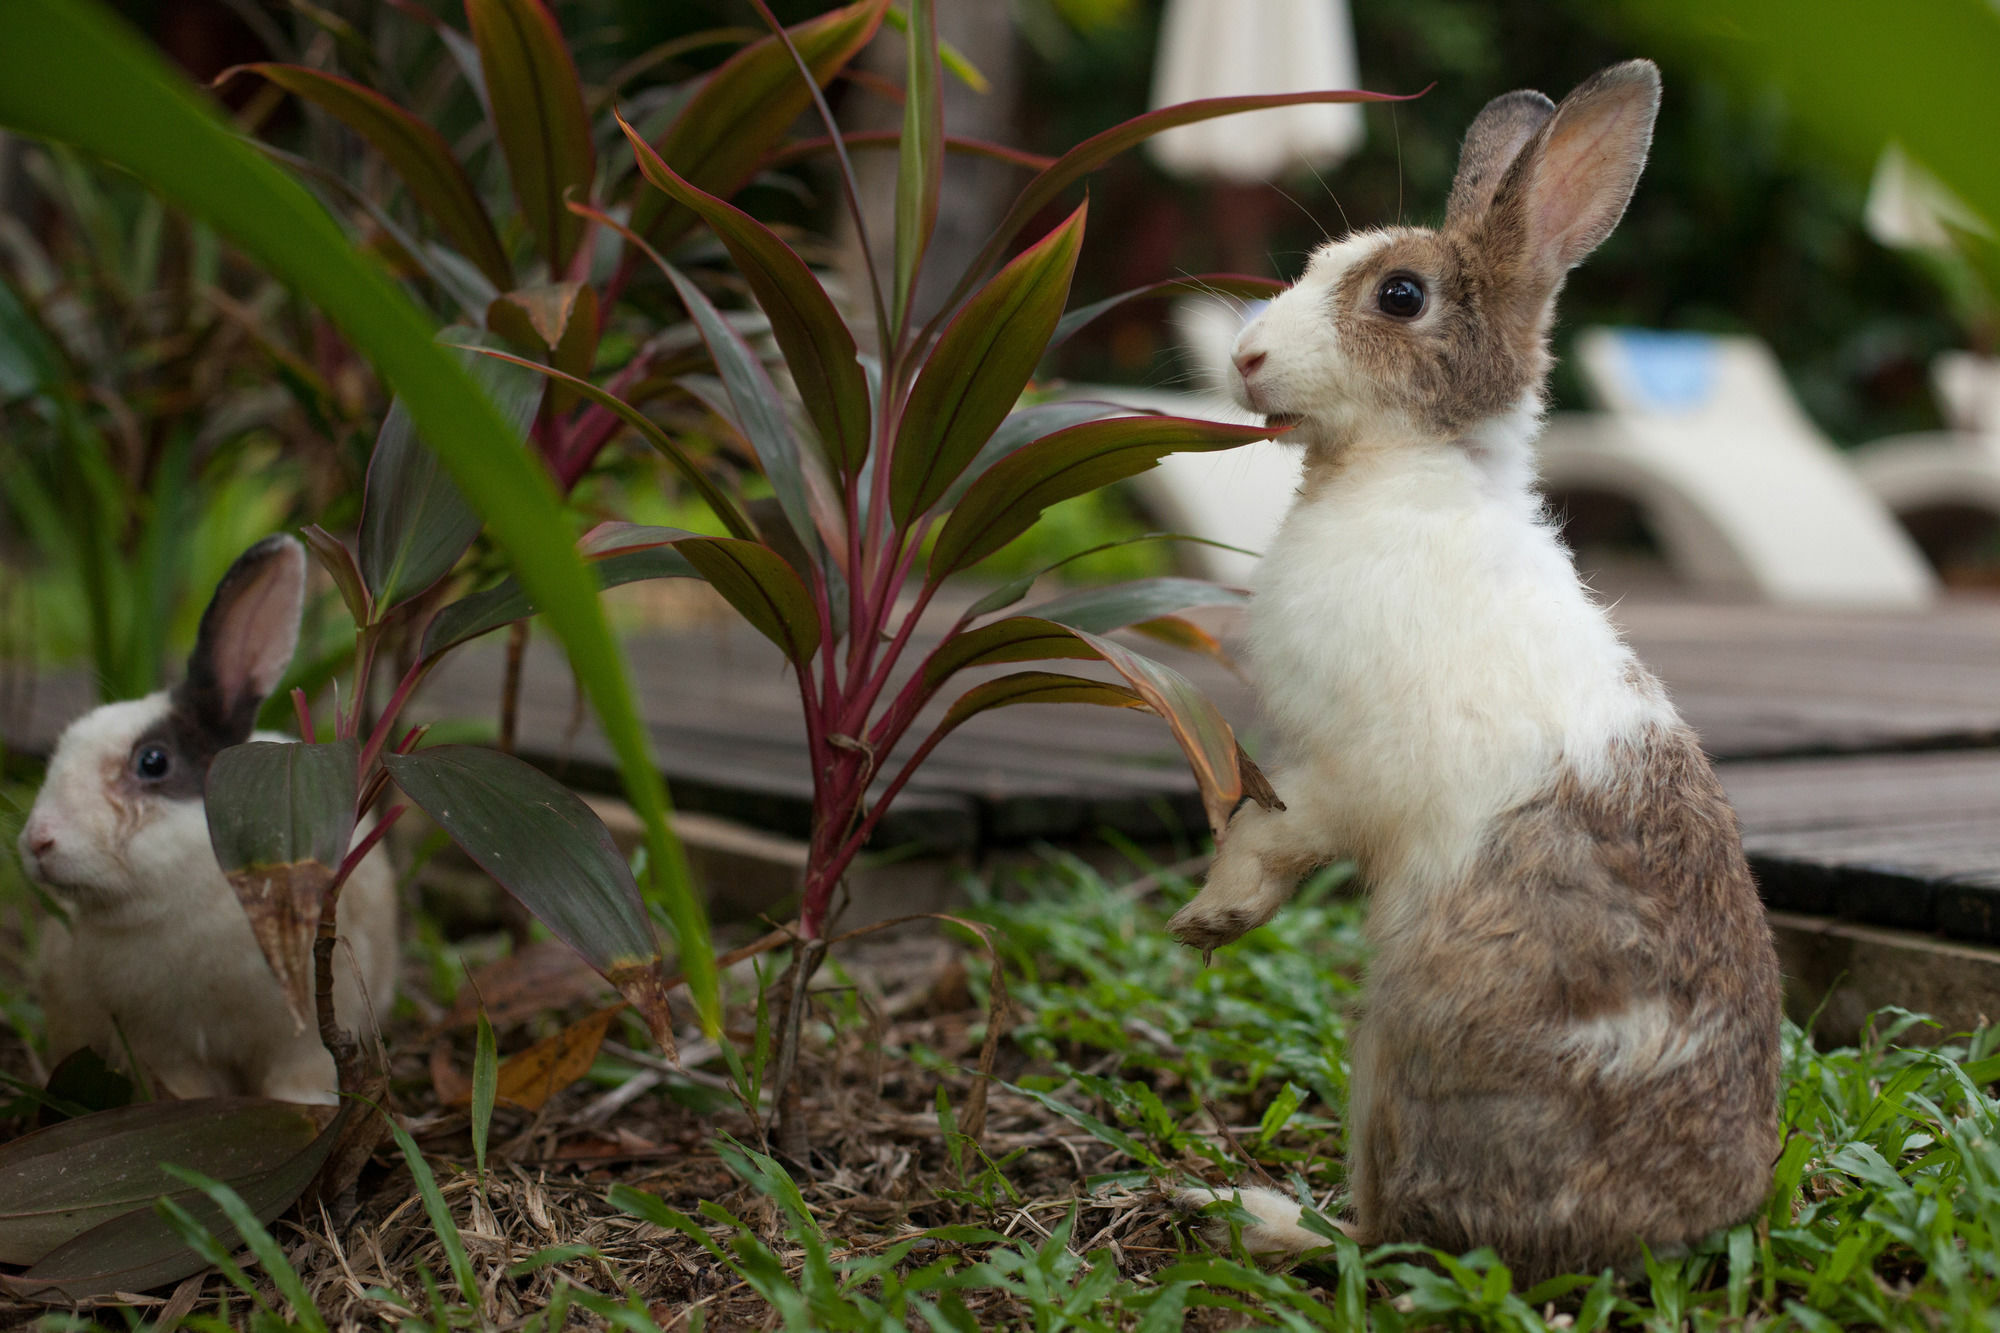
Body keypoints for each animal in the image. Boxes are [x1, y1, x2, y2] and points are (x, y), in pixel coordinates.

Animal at [17, 528, 396, 1096]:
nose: (38, 840)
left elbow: (299, 1076)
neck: (179, 903)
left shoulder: (303, 1037)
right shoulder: (163, 1048)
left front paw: (306, 1107)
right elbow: (186, 1088)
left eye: (153, 761)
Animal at [1168, 59, 1784, 1280]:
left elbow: (1265, 836)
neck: (1407, 469)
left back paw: (1260, 1219)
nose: (1245, 358)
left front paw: (1208, 921)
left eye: (1399, 296)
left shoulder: (1339, 774)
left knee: (1391, 1229)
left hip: (1407, 1041)